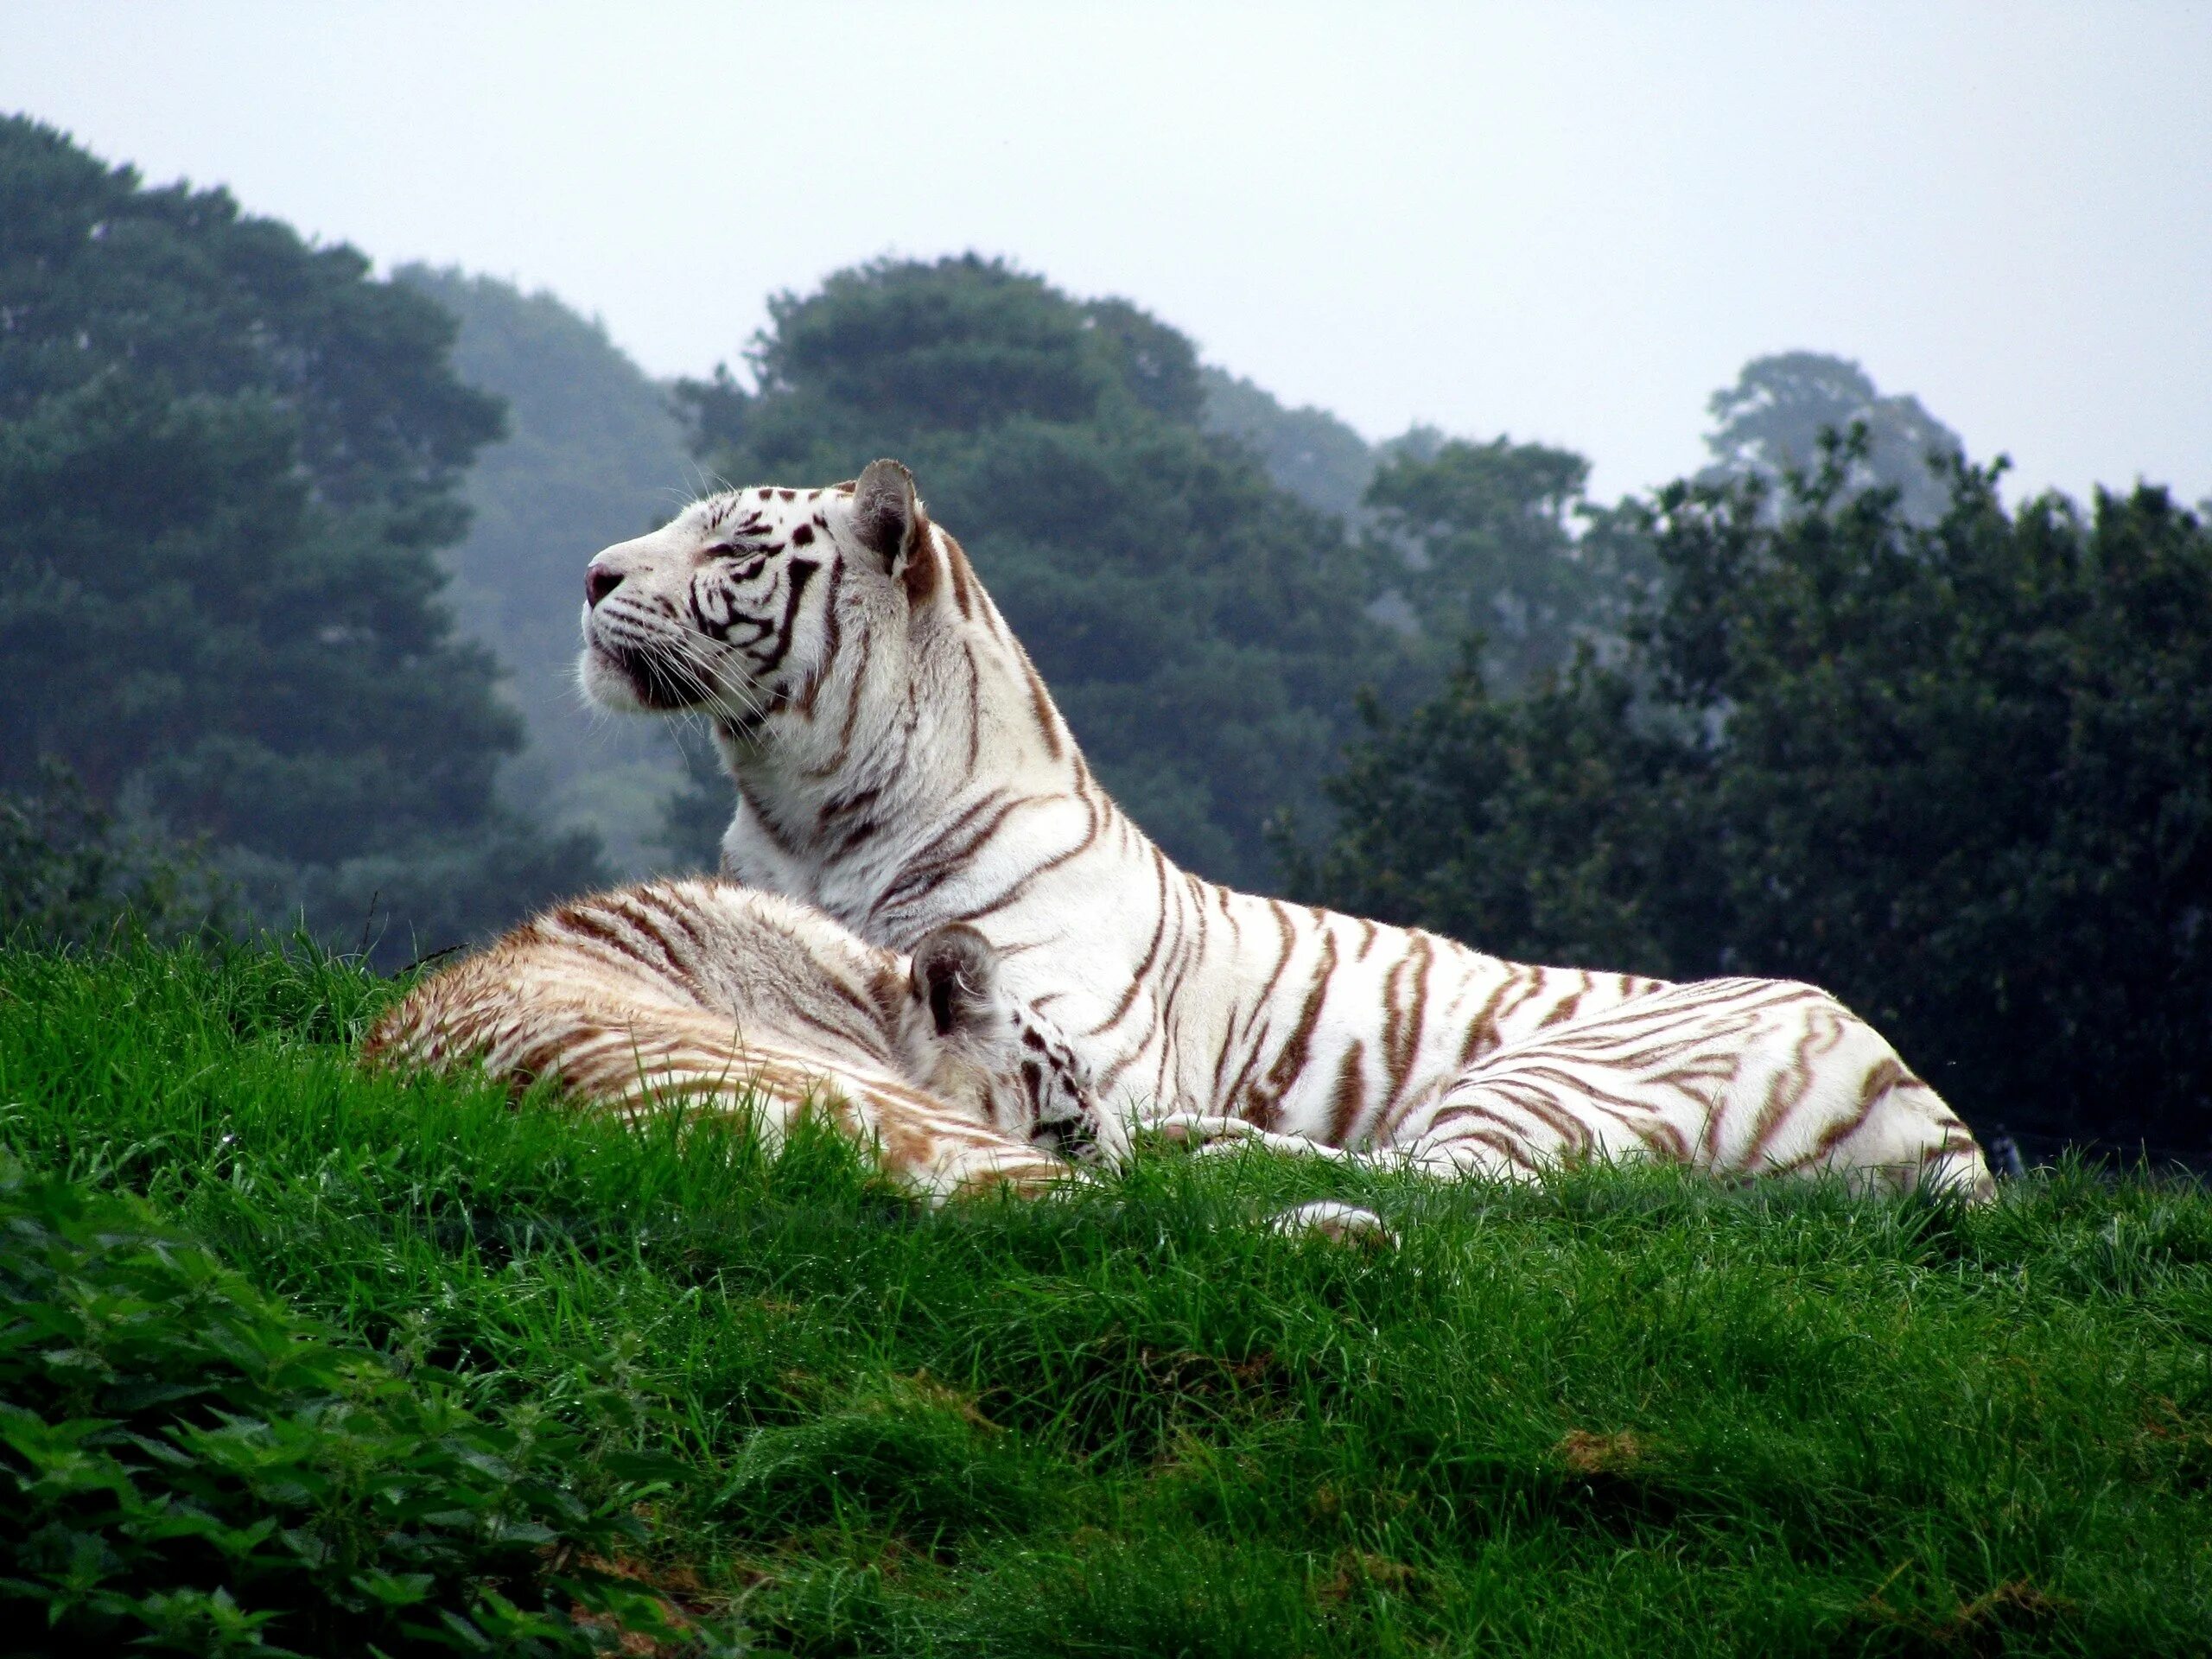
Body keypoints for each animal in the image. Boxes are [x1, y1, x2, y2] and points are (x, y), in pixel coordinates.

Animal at [566, 462, 1991, 1203]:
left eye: (735, 547)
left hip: (1566, 1070)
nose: (590, 574)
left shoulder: (1081, 1035)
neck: (803, 816)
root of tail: (1943, 1126)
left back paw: (1209, 1149)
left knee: (1471, 1183)